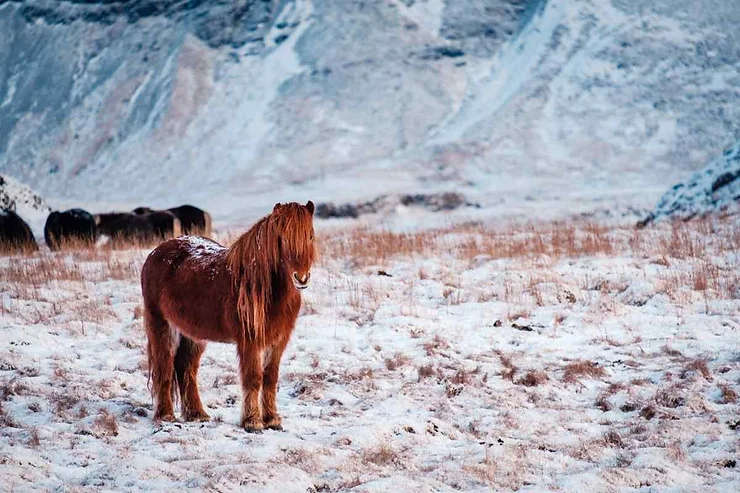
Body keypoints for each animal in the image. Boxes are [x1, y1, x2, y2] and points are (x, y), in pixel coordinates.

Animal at [141, 200, 316, 430]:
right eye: (284, 238)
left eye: (311, 236)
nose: (301, 278)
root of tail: (155, 252)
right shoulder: (249, 340)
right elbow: (253, 378)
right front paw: (252, 421)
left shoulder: (278, 340)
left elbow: (270, 378)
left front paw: (272, 419)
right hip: (161, 324)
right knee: (165, 367)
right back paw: (166, 415)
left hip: (192, 334)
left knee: (185, 367)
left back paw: (197, 414)